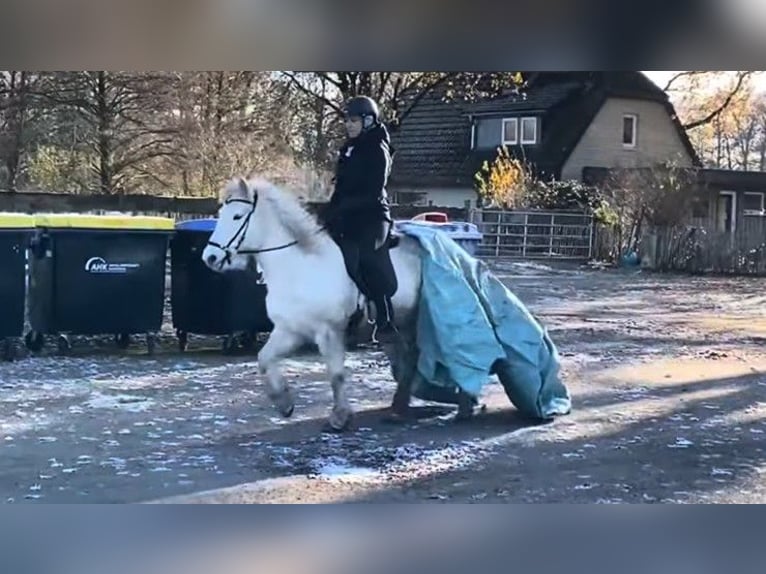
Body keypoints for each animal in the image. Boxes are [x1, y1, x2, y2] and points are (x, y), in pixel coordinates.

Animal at [201, 175, 431, 432]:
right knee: (408, 358)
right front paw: (284, 402)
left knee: (411, 357)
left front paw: (340, 417)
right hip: (401, 325)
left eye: (237, 217)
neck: (301, 267)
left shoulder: (329, 331)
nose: (209, 258)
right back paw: (399, 406)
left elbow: (336, 375)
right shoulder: (290, 330)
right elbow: (264, 358)